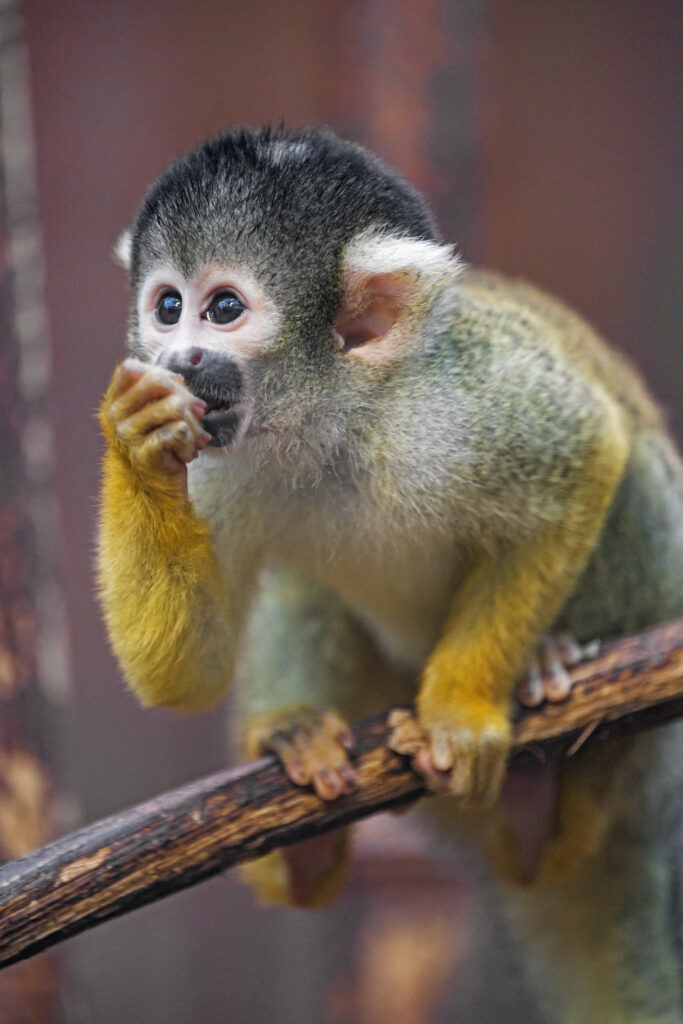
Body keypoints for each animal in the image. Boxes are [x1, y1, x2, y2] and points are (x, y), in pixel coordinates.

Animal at [98, 125, 683, 1023]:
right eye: (166, 306)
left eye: (222, 309)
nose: (177, 355)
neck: (333, 418)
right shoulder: (218, 456)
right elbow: (186, 672)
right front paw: (135, 436)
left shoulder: (459, 401)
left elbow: (588, 447)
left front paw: (460, 710)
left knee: (630, 475)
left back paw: (548, 752)